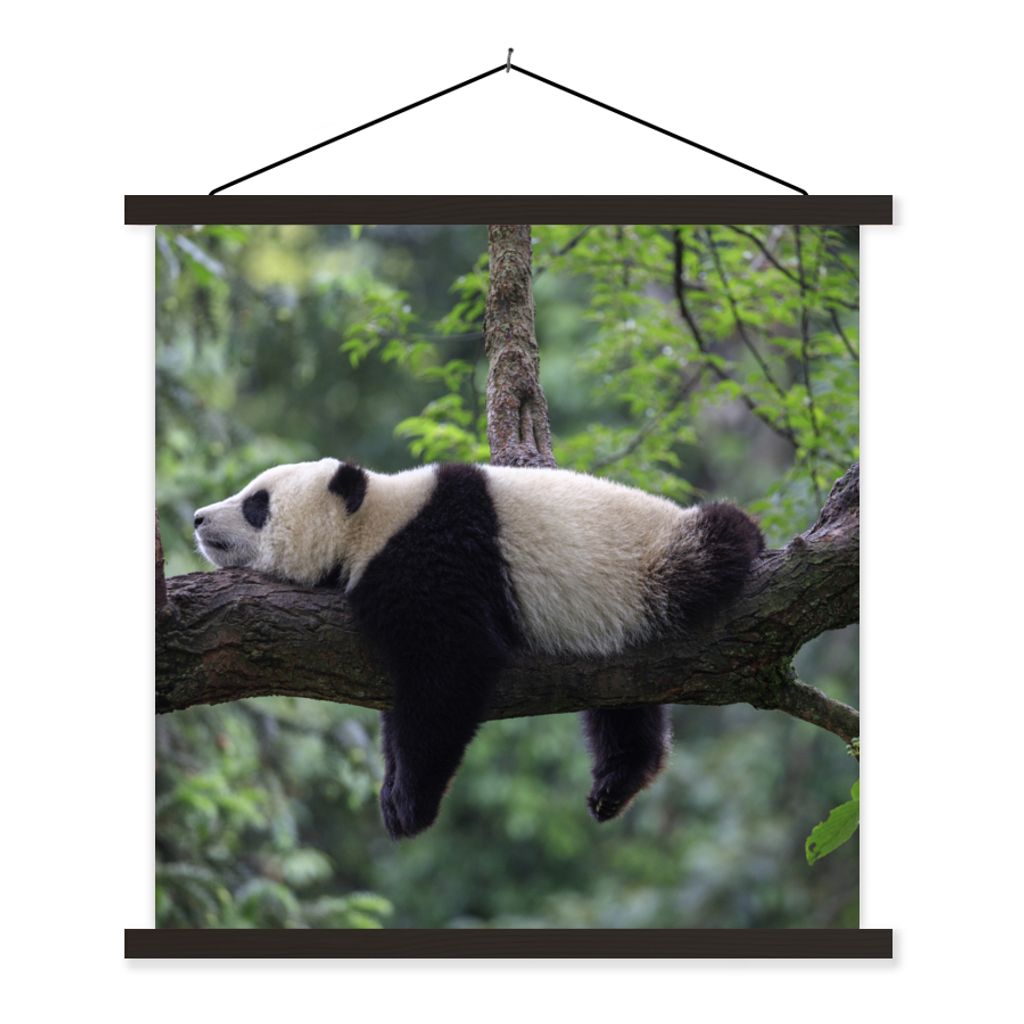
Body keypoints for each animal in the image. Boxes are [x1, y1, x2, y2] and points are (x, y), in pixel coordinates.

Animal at [193, 458, 763, 839]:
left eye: (257, 504)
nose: (198, 518)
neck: (374, 519)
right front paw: (392, 788)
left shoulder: (436, 559)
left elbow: (450, 672)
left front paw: (409, 804)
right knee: (622, 704)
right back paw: (617, 781)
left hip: (654, 563)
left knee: (718, 542)